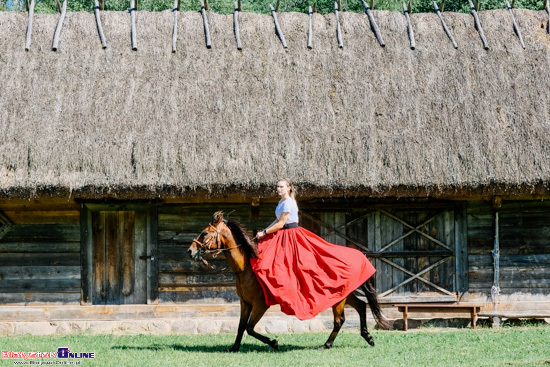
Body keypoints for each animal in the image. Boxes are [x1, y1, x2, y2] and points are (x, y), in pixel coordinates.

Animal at [190, 213, 392, 354]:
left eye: (205, 232)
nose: (190, 251)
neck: (246, 267)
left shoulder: (260, 304)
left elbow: (249, 328)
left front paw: (274, 343)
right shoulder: (245, 302)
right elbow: (241, 327)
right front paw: (233, 348)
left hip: (338, 298)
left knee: (339, 320)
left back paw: (326, 345)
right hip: (343, 293)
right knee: (361, 306)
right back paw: (367, 337)